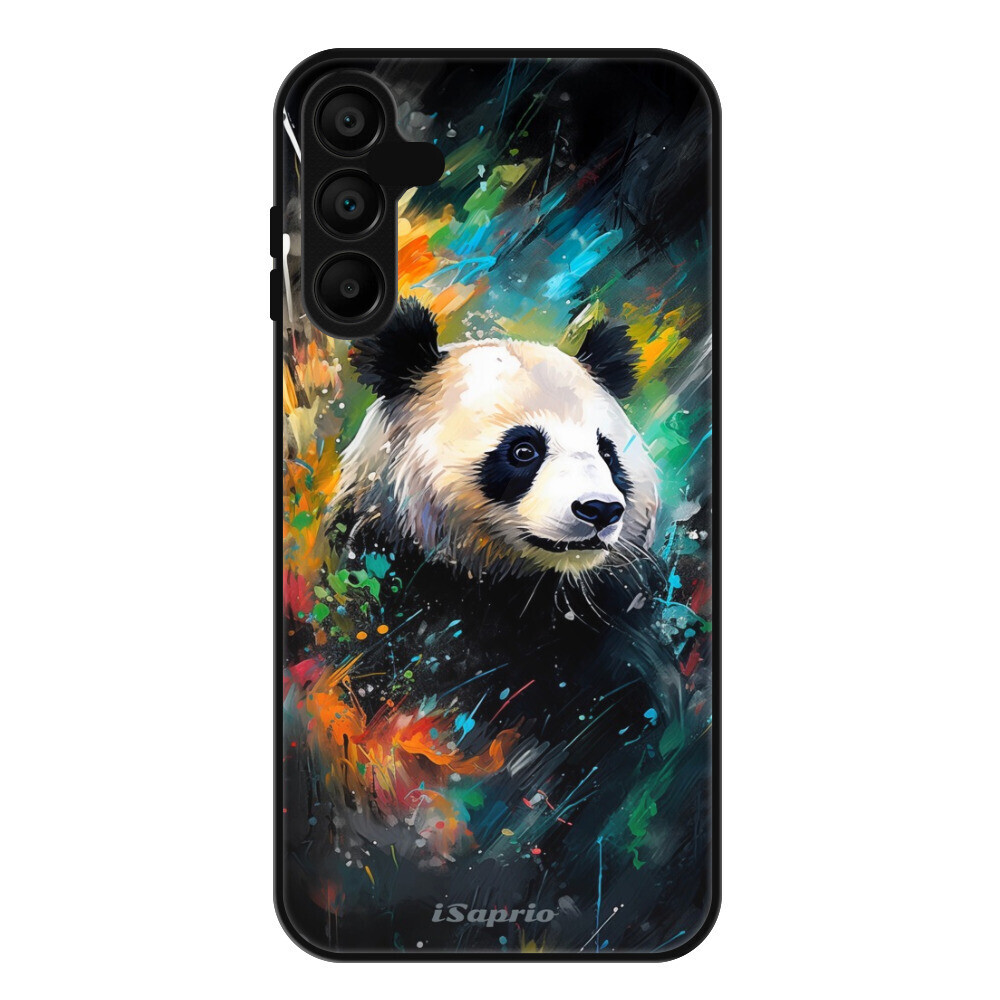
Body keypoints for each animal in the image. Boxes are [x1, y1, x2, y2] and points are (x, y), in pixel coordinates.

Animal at [284, 298, 712, 954]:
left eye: (607, 451)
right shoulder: (384, 609)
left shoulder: (608, 643)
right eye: (524, 450)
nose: (599, 510)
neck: (516, 590)